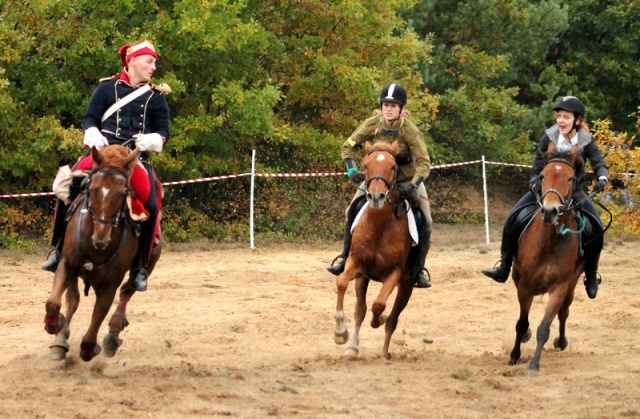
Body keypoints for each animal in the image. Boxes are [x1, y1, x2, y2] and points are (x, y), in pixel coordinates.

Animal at [43, 146, 161, 362]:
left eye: (122, 193)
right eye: (91, 189)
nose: (101, 239)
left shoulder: (110, 284)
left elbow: (98, 317)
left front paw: (89, 348)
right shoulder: (67, 264)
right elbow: (55, 302)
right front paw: (54, 325)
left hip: (150, 263)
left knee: (127, 291)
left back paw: (113, 334)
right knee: (73, 300)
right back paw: (60, 338)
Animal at [332, 141, 418, 360]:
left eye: (393, 166)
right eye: (366, 165)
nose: (376, 197)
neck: (379, 225)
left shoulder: (394, 273)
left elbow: (379, 305)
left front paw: (379, 319)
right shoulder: (357, 264)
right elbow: (342, 282)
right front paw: (340, 333)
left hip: (407, 285)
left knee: (393, 318)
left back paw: (384, 353)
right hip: (363, 279)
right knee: (360, 310)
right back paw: (352, 347)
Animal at [508, 143, 588, 376]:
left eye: (570, 178)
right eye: (543, 176)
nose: (550, 211)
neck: (550, 241)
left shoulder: (559, 287)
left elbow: (544, 327)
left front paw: (534, 365)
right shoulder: (525, 286)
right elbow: (521, 323)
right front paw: (514, 356)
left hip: (572, 284)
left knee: (564, 311)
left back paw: (561, 341)